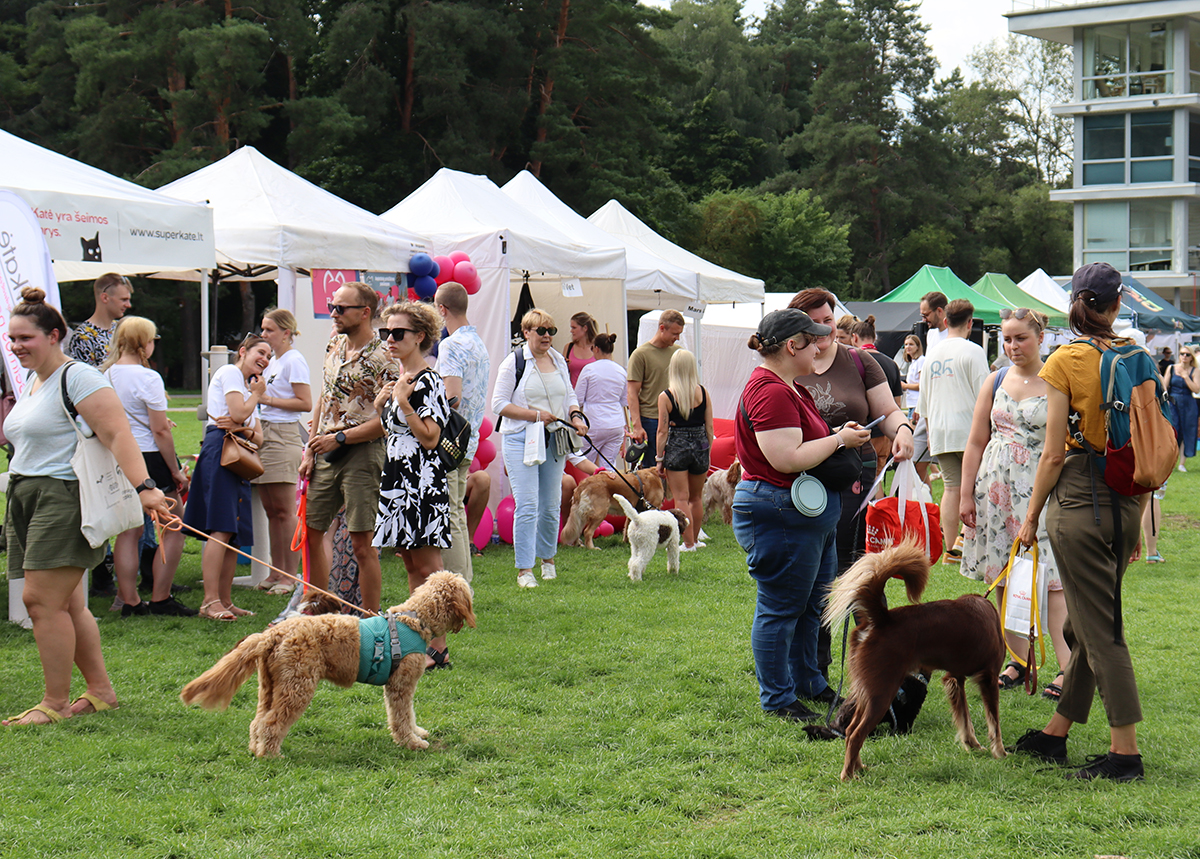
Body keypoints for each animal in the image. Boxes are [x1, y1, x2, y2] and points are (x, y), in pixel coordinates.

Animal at [180, 573, 475, 753]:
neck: (413, 619)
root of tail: (273, 634)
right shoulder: (400, 686)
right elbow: (401, 717)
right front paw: (412, 742)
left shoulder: (399, 687)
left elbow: (407, 714)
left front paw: (417, 733)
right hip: (297, 685)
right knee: (272, 722)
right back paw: (271, 755)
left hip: (270, 686)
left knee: (258, 721)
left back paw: (257, 749)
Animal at [825, 544, 1003, 777]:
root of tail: (882, 619)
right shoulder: (989, 678)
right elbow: (994, 721)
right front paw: (1000, 752)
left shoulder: (955, 678)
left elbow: (965, 718)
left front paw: (972, 744)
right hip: (882, 693)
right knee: (856, 735)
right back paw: (848, 776)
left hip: (869, 691)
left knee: (850, 730)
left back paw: (859, 767)